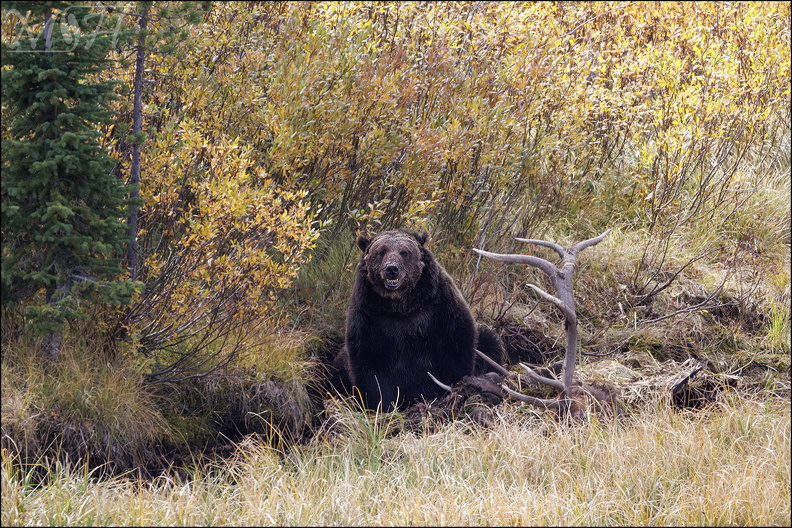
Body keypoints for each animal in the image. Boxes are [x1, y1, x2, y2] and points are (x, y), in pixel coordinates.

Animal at [333, 229, 504, 411]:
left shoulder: (439, 310)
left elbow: (456, 348)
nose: (391, 269)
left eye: (404, 252)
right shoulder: (370, 318)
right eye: (380, 252)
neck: (401, 306)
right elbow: (370, 366)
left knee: (489, 343)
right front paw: (382, 406)